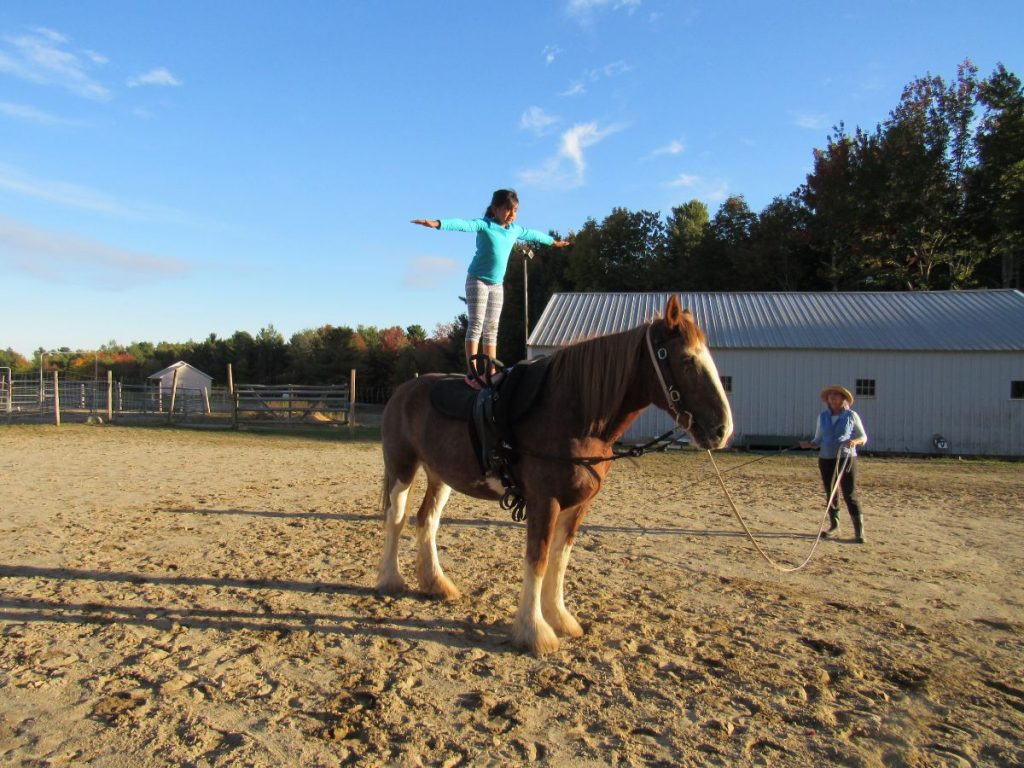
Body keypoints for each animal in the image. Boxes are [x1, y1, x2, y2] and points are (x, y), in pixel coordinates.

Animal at [380, 294, 733, 655]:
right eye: (687, 360)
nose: (722, 429)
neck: (576, 414)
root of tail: (404, 389)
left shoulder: (578, 505)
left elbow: (560, 559)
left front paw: (560, 618)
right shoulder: (544, 501)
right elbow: (537, 559)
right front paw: (534, 632)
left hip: (441, 476)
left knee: (426, 520)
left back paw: (436, 584)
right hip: (401, 468)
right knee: (396, 517)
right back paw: (391, 579)